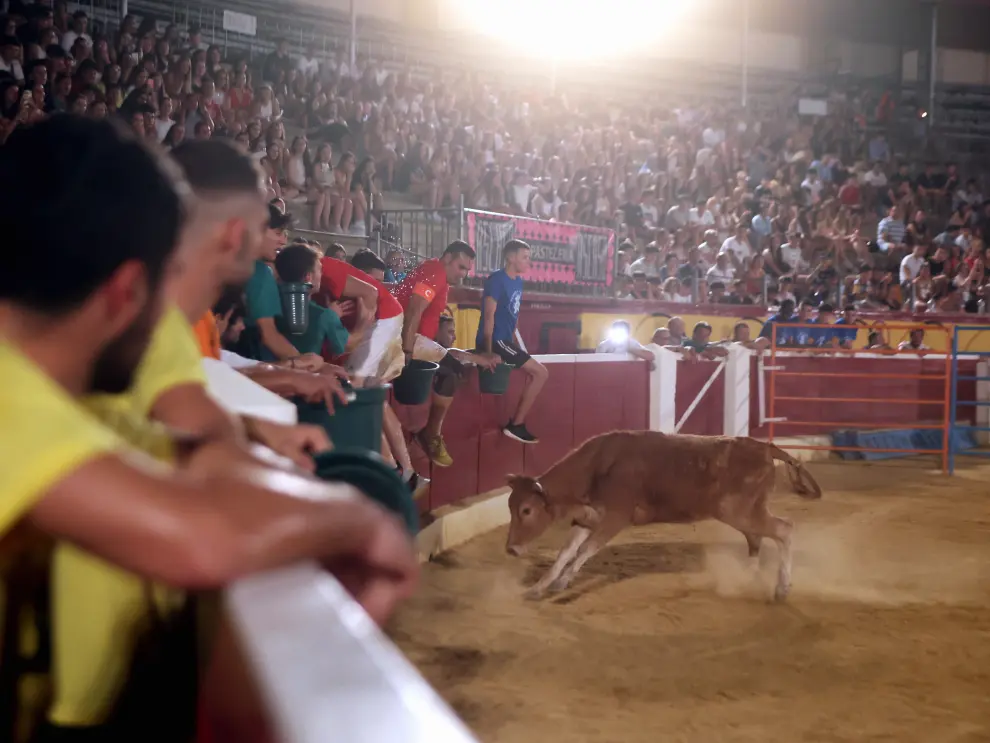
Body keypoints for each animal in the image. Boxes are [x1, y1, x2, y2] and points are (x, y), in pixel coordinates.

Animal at [508, 434, 824, 600]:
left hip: (740, 512)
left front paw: (562, 583)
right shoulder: (587, 519)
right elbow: (565, 552)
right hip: (745, 513)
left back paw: (781, 588)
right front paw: (539, 587)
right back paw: (747, 578)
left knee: (784, 530)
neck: (596, 468)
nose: (511, 548)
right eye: (511, 507)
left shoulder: (615, 518)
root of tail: (764, 446)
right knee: (757, 539)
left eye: (526, 510)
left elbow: (584, 550)